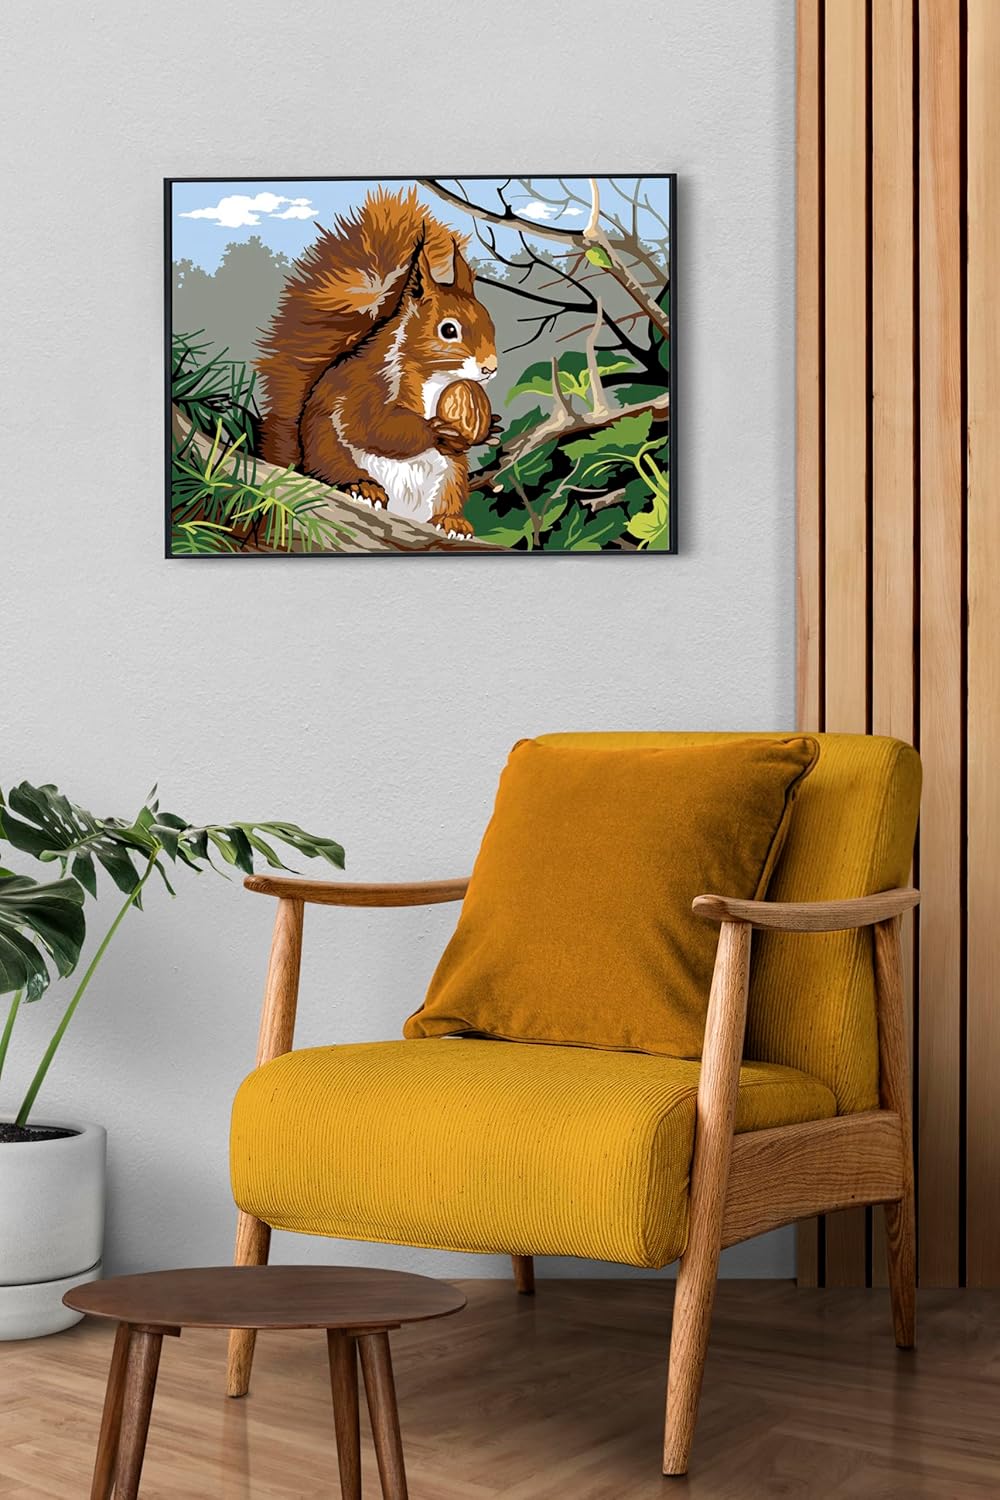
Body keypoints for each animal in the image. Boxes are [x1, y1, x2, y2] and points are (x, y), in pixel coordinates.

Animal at [256, 186, 500, 538]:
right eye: (448, 330)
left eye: (490, 323)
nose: (490, 368)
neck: (435, 379)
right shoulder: (366, 384)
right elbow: (373, 425)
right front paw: (434, 429)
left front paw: (490, 428)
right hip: (329, 449)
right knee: (335, 469)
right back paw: (364, 487)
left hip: (451, 476)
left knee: (448, 496)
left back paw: (452, 521)